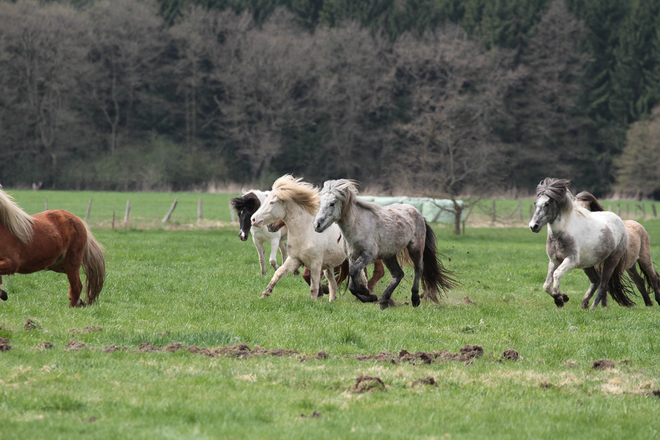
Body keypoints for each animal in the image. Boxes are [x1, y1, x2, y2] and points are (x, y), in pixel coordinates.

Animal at [524, 179, 636, 310]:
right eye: (535, 203)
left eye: (547, 204)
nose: (533, 226)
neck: (560, 235)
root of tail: (619, 220)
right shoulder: (554, 261)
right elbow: (546, 285)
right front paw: (561, 299)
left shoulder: (571, 260)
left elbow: (556, 275)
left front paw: (561, 298)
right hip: (588, 264)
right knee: (596, 281)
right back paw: (584, 303)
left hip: (611, 260)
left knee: (603, 285)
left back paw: (592, 307)